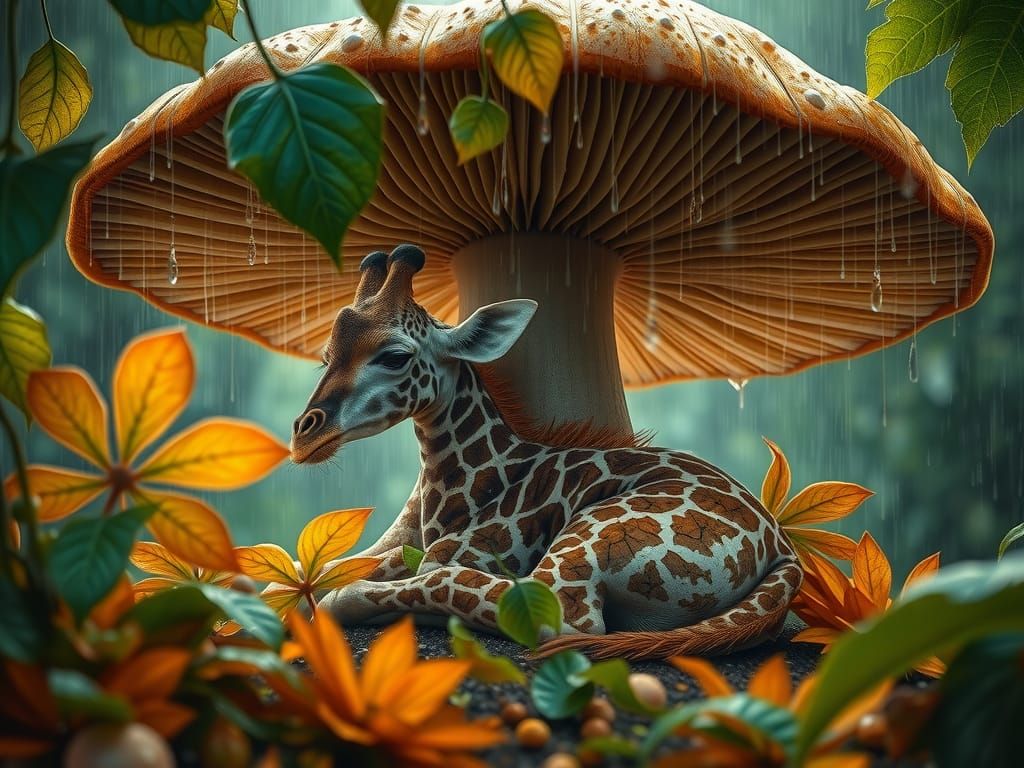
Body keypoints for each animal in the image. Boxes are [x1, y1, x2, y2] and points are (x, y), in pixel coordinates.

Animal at [290, 244, 802, 660]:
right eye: (326, 356)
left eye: (395, 356)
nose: (303, 436)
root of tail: (783, 551)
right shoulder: (400, 544)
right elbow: (326, 562)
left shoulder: (464, 550)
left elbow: (421, 569)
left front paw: (332, 598)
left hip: (587, 541)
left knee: (560, 617)